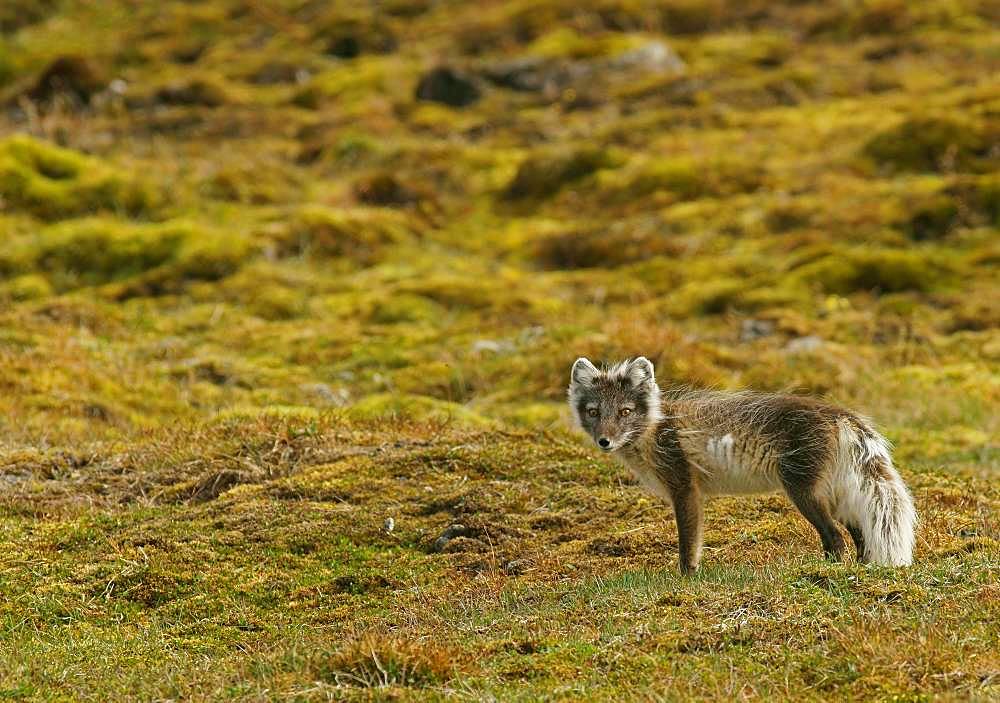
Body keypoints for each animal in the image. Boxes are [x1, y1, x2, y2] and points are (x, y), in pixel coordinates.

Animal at [568, 354, 916, 576]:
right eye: (594, 412)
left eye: (625, 412)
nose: (604, 442)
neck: (655, 427)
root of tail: (838, 413)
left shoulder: (685, 488)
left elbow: (688, 543)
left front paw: (686, 578)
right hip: (835, 495)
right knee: (859, 534)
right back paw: (862, 567)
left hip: (803, 492)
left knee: (835, 538)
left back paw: (826, 570)